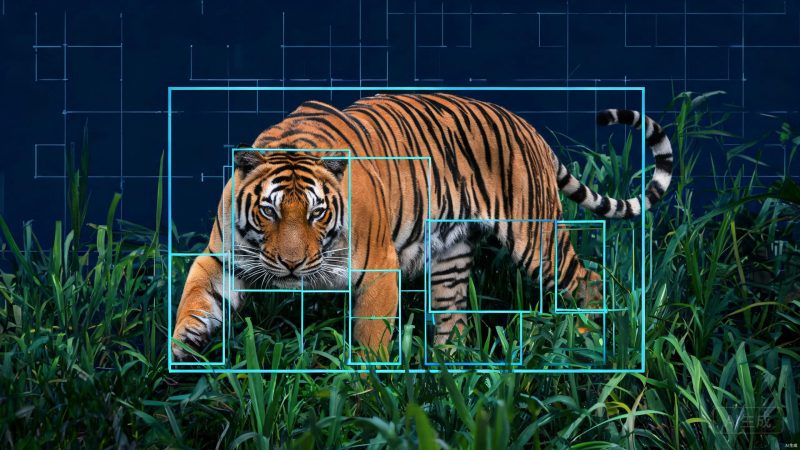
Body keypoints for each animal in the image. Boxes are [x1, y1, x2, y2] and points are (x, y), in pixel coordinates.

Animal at [171, 93, 672, 362]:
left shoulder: (378, 268)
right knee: (456, 320)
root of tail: (532, 131)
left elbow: (371, 335)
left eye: (317, 213)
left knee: (588, 281)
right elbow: (195, 298)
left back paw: (588, 342)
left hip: (537, 241)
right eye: (269, 212)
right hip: (450, 259)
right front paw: (180, 350)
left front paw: (365, 385)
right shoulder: (221, 257)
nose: (292, 266)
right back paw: (450, 372)